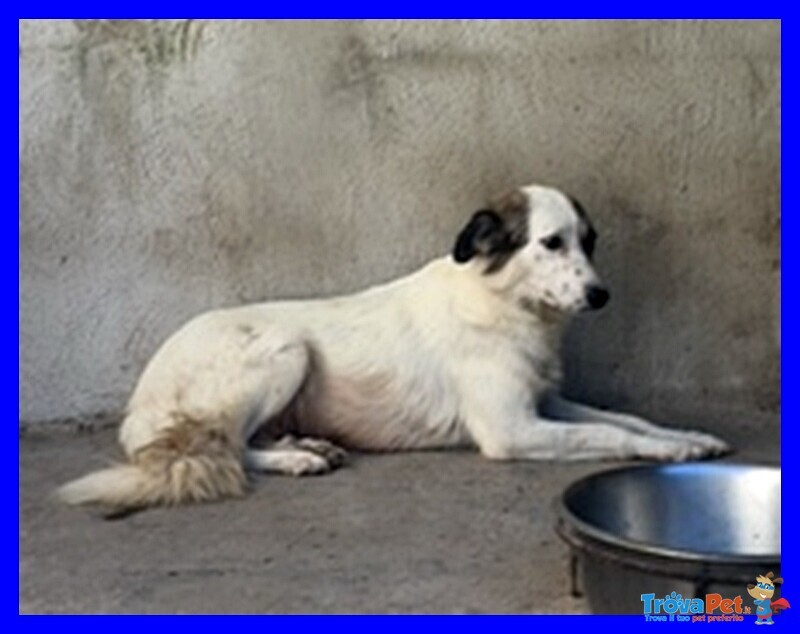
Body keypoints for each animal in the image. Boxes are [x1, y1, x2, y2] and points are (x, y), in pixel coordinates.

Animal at [58, 183, 729, 514]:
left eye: (590, 241)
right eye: (551, 242)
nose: (600, 295)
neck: (503, 303)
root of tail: (140, 401)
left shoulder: (547, 404)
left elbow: (627, 418)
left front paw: (687, 438)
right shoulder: (512, 429)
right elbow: (612, 433)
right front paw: (669, 451)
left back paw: (305, 444)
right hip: (285, 350)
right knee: (222, 446)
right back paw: (297, 460)